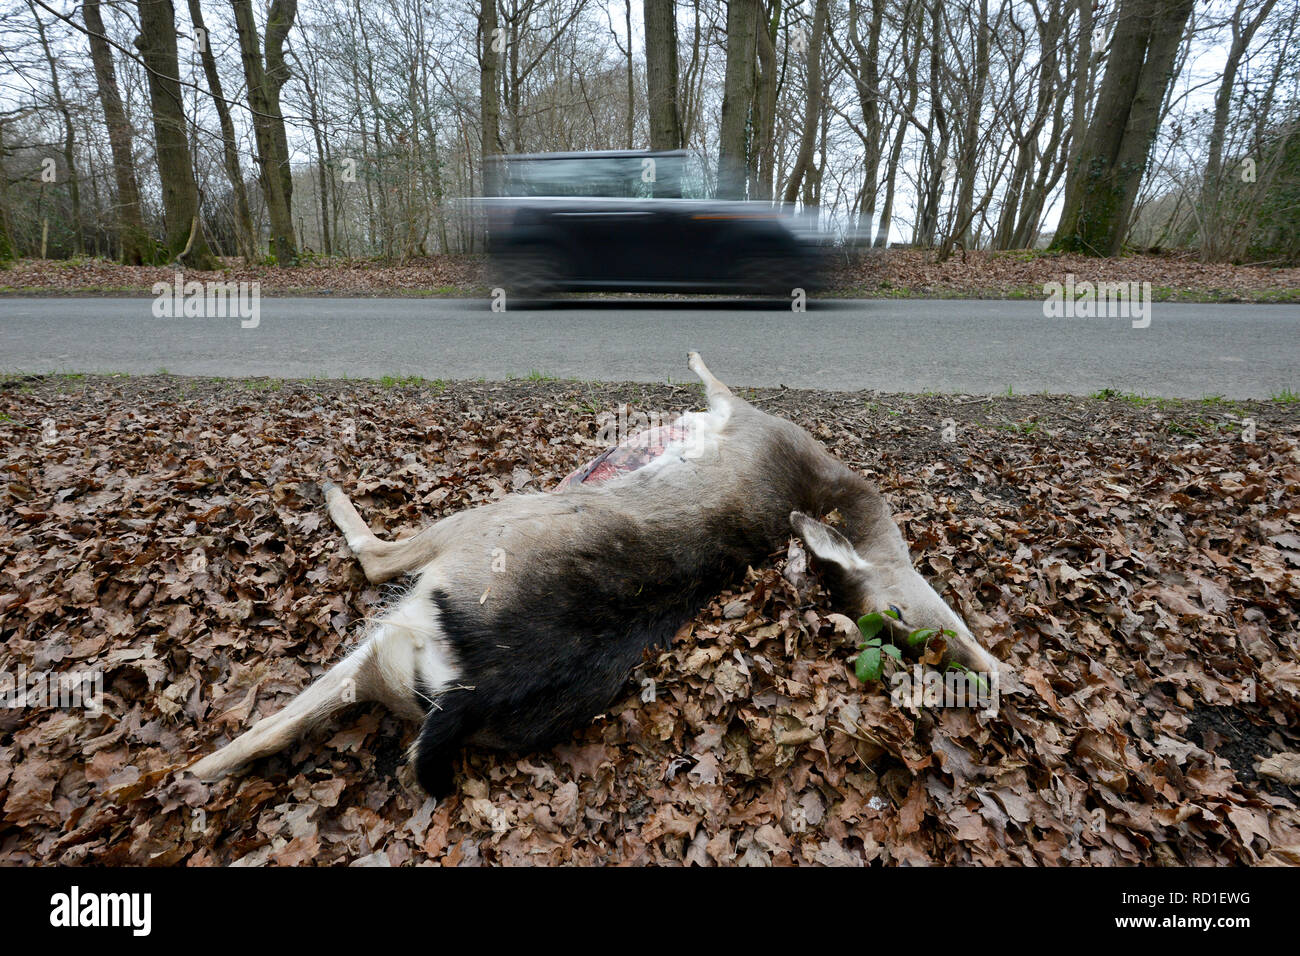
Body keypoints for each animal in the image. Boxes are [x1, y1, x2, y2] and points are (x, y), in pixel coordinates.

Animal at [189, 356, 1003, 796]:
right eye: (907, 619)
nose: (991, 667)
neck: (837, 497)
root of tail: (472, 687)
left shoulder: (743, 414)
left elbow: (715, 378)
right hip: (399, 662)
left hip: (479, 534)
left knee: (372, 565)